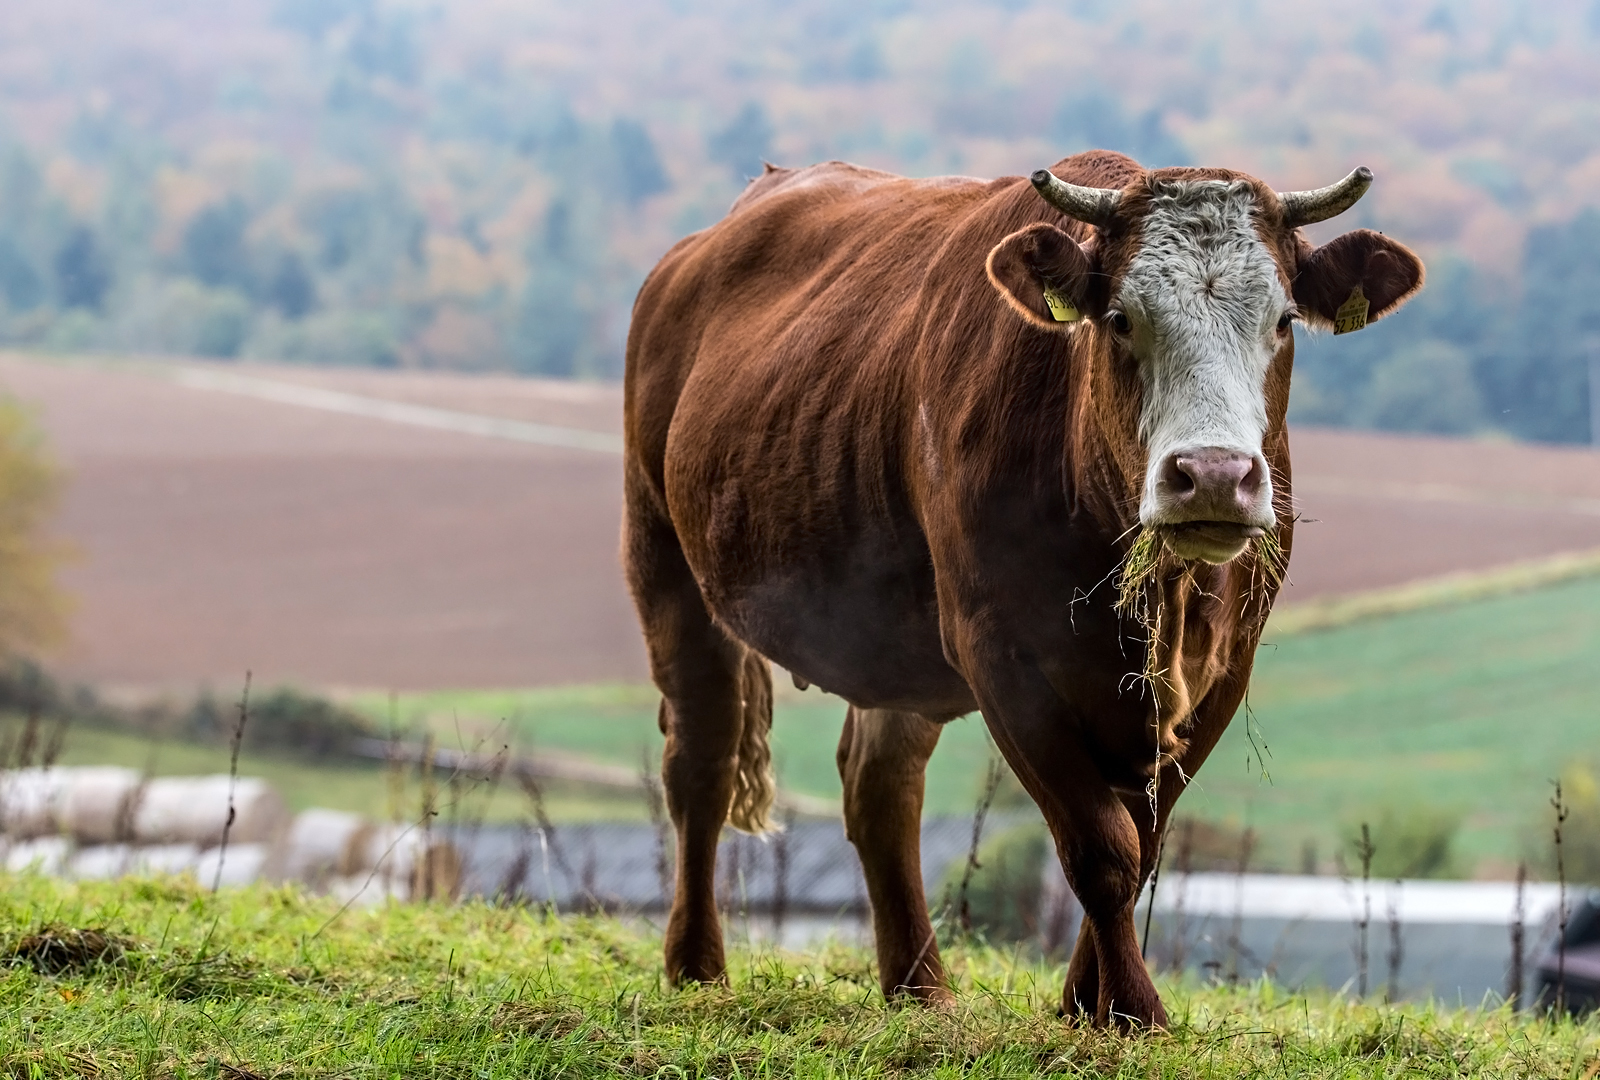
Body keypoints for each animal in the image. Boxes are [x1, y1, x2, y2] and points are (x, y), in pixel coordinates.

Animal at [624, 152, 1427, 1030]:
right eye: (1120, 319)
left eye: (1282, 320)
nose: (1214, 475)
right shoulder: (1003, 658)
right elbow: (1102, 849)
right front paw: (1135, 1011)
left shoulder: (1221, 670)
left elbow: (1144, 845)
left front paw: (1088, 1007)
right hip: (664, 558)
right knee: (699, 762)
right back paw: (697, 967)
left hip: (889, 633)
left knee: (880, 789)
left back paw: (920, 989)